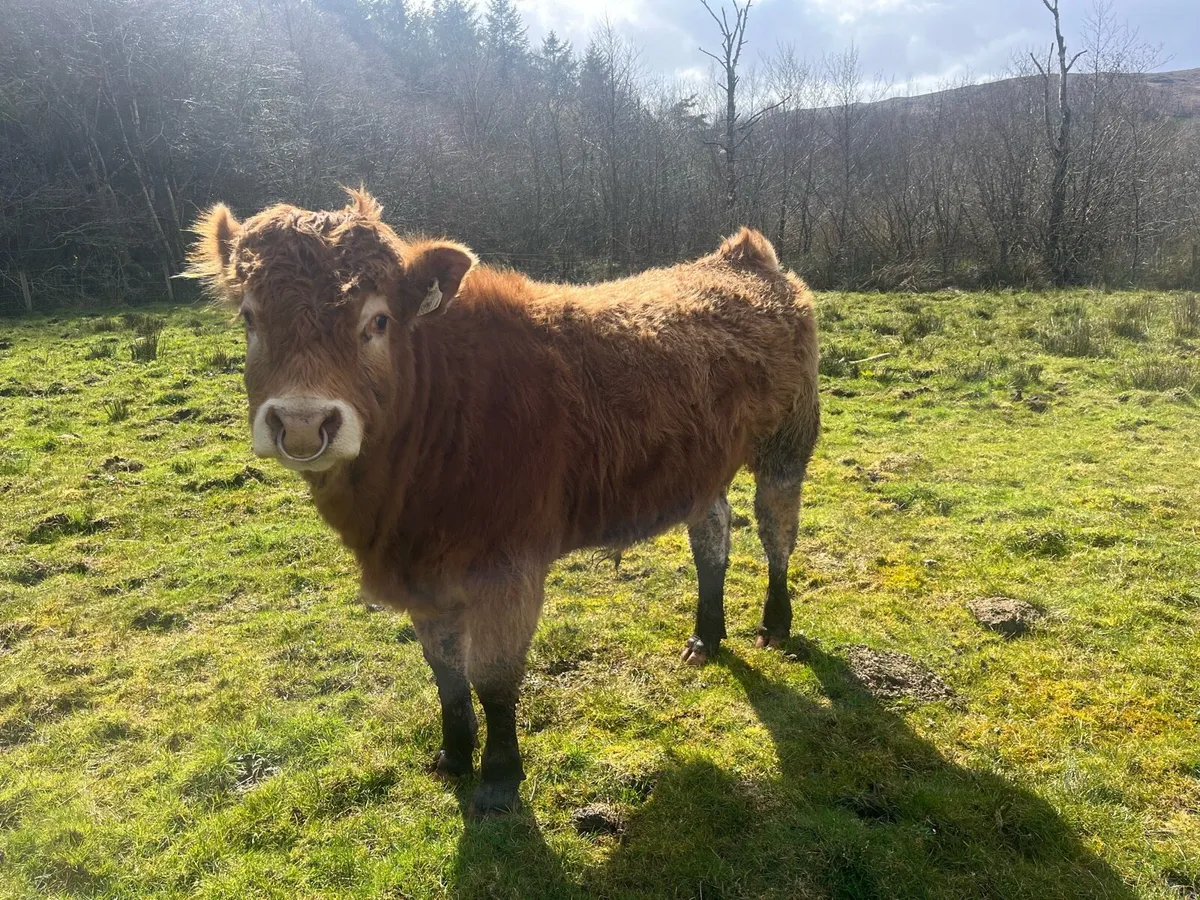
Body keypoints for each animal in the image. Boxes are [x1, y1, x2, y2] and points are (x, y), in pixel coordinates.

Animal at [187, 189, 820, 817]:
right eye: (249, 318)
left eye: (378, 320)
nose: (301, 422)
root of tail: (744, 257)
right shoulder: (423, 574)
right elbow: (446, 672)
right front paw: (452, 757)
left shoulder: (507, 566)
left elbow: (493, 676)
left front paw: (497, 776)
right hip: (702, 467)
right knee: (712, 533)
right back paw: (705, 637)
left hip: (788, 441)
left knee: (777, 531)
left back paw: (775, 624)